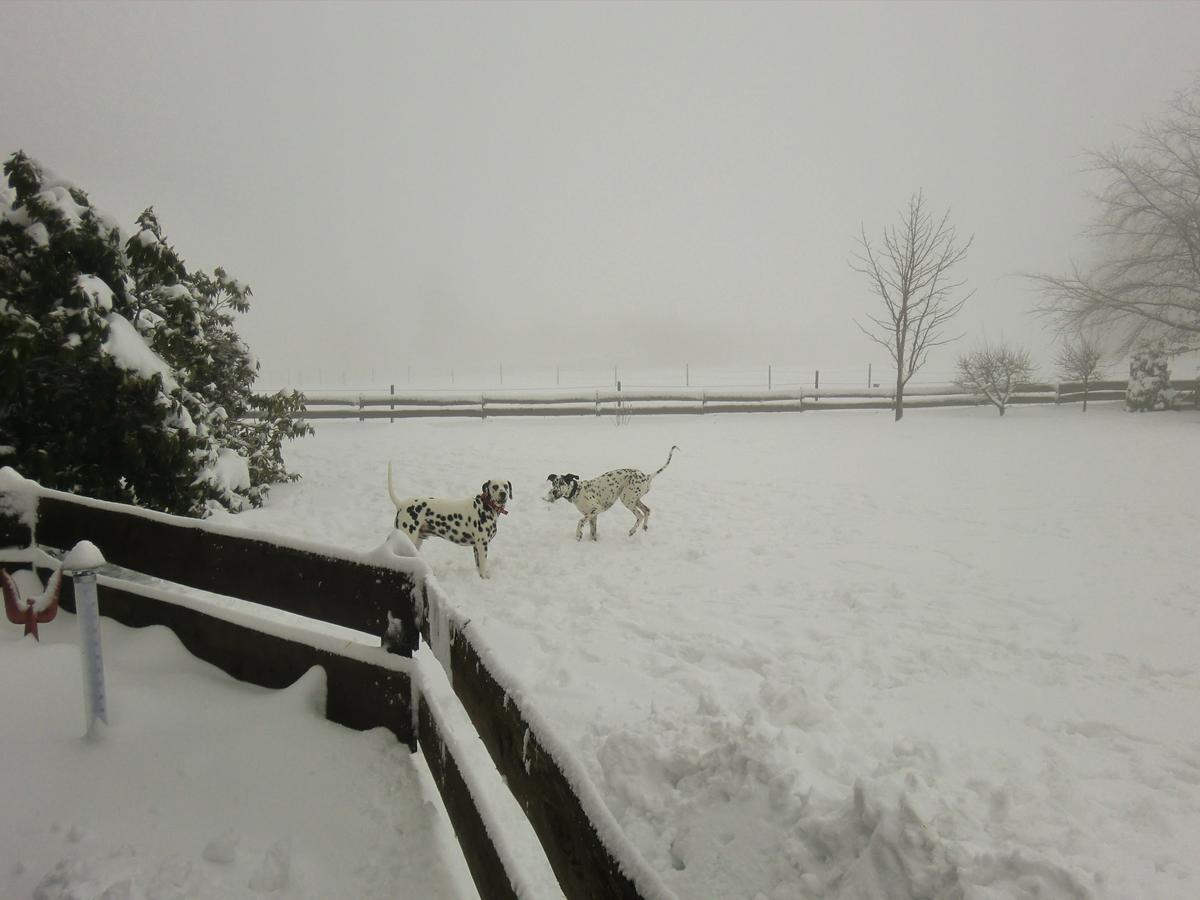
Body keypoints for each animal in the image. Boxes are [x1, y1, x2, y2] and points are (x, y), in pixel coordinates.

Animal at [549, 446, 681, 540]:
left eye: (562, 483)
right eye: (553, 483)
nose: (554, 492)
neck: (577, 491)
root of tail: (646, 476)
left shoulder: (596, 510)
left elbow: (580, 521)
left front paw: (578, 534)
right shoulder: (592, 516)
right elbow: (593, 532)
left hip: (627, 499)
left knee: (640, 515)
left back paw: (632, 531)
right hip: (635, 499)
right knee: (647, 510)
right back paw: (644, 527)